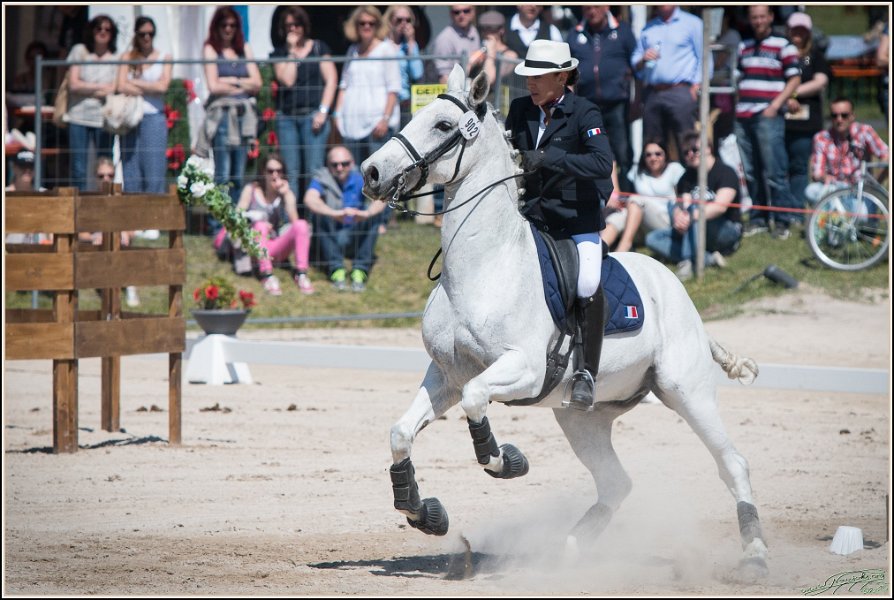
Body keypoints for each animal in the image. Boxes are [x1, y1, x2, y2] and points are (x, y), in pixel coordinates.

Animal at [361, 65, 768, 577]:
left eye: (442, 126)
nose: (371, 172)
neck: (484, 265)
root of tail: (674, 287)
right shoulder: (446, 375)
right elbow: (401, 433)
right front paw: (423, 511)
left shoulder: (525, 369)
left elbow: (477, 402)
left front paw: (505, 460)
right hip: (582, 418)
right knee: (616, 483)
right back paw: (568, 553)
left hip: (685, 391)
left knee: (732, 463)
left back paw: (755, 554)